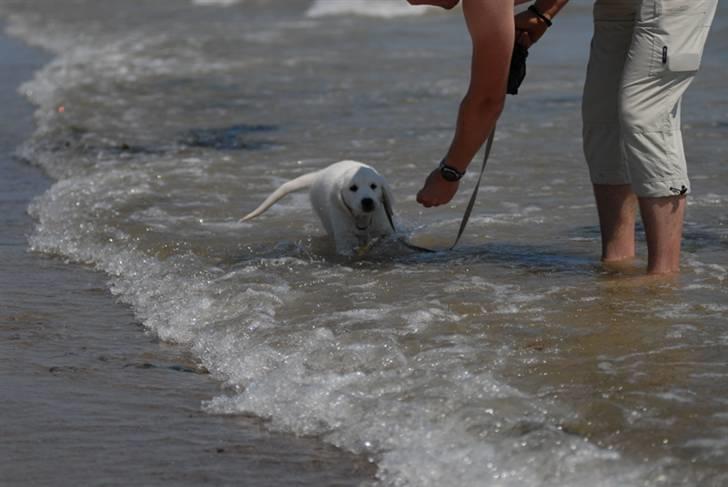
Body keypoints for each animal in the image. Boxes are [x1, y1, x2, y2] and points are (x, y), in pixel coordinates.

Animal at [242, 161, 396, 255]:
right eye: (353, 188)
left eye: (373, 186)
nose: (367, 201)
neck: (362, 218)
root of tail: (319, 174)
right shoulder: (344, 237)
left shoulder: (384, 230)